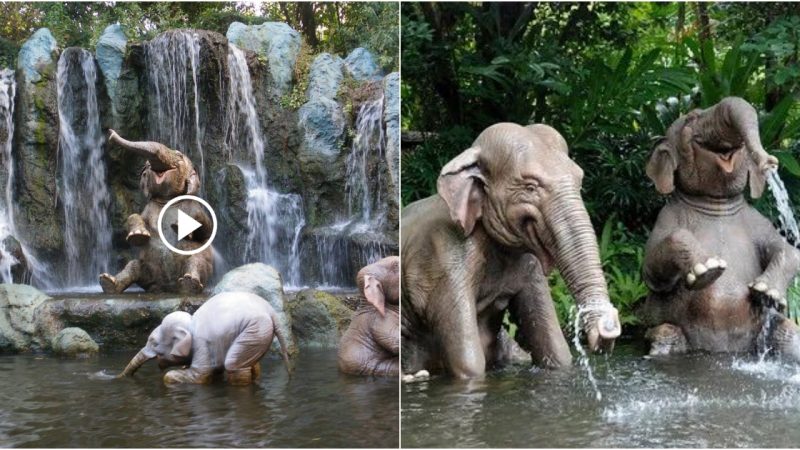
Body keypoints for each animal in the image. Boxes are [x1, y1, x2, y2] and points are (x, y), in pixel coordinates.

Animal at [98, 129, 214, 296]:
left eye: (179, 156)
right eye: (146, 167)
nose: (111, 133)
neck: (167, 199)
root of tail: (167, 288)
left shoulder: (194, 205)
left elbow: (207, 229)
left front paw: (181, 225)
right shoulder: (149, 208)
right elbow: (135, 215)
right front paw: (138, 236)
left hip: (200, 265)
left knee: (196, 261)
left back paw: (189, 284)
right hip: (147, 270)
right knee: (134, 266)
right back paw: (109, 283)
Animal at [119, 294, 290, 384]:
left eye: (154, 343)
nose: (118, 377)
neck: (190, 323)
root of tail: (271, 312)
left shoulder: (202, 344)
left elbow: (200, 373)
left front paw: (170, 376)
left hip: (255, 329)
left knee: (233, 365)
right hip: (257, 335)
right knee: (252, 364)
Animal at [404, 121, 620, 378]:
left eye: (580, 180)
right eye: (530, 187)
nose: (607, 328)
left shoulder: (530, 266)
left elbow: (556, 350)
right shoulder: (443, 261)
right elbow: (469, 364)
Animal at [640, 96, 800, 360]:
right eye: (691, 118)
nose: (771, 162)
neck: (717, 204)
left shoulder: (759, 221)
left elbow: (788, 249)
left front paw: (767, 293)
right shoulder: (665, 217)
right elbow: (652, 272)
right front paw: (708, 269)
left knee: (788, 331)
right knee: (663, 331)